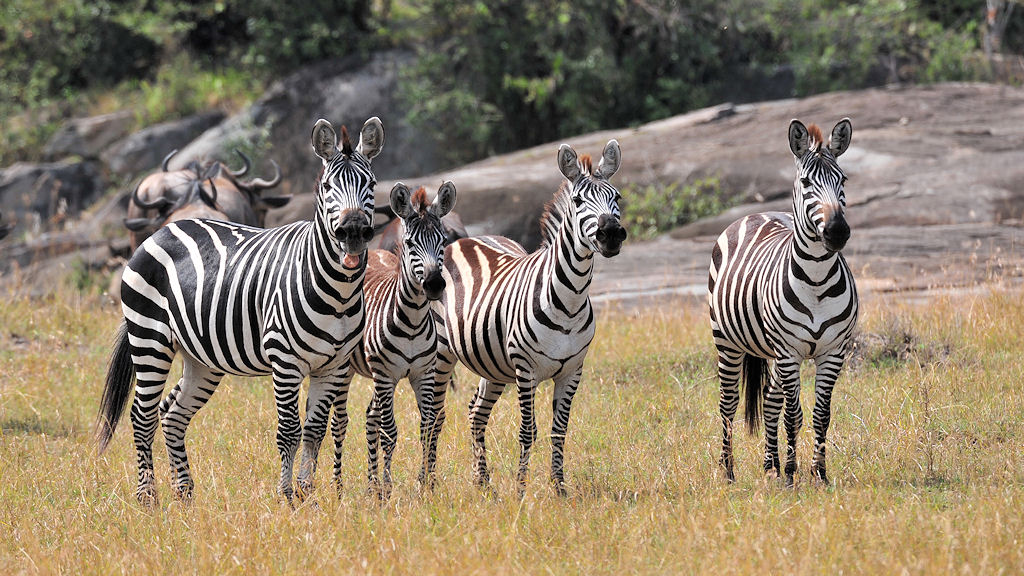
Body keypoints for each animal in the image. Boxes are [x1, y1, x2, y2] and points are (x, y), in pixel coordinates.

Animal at [95, 117, 385, 505]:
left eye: (371, 184)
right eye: (326, 187)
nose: (353, 232)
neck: (337, 291)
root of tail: (165, 229)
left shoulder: (333, 366)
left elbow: (315, 430)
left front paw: (309, 495)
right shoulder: (285, 362)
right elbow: (289, 431)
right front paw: (287, 496)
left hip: (201, 359)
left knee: (172, 414)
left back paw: (184, 494)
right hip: (149, 338)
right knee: (142, 415)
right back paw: (148, 497)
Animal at [329, 181, 456, 497]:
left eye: (443, 241)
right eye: (410, 244)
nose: (434, 284)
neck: (412, 321)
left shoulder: (423, 374)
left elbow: (427, 427)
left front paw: (427, 484)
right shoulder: (386, 375)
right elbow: (390, 433)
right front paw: (387, 490)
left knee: (370, 416)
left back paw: (371, 483)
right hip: (347, 369)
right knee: (340, 422)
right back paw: (338, 486)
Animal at [432, 140, 626, 495]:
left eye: (616, 198)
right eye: (578, 202)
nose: (611, 234)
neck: (569, 301)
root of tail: (465, 239)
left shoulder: (572, 371)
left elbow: (559, 430)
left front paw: (559, 487)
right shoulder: (526, 369)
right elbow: (528, 431)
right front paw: (521, 490)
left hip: (492, 364)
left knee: (476, 412)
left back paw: (482, 480)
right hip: (441, 352)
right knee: (434, 416)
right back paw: (430, 480)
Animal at [708, 118, 858, 486]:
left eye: (844, 180)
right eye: (806, 182)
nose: (837, 232)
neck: (817, 278)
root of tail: (756, 213)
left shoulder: (833, 353)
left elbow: (820, 415)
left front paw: (818, 474)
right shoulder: (789, 353)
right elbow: (794, 414)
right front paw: (792, 474)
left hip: (773, 354)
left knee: (769, 400)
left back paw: (770, 466)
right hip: (727, 342)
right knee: (728, 404)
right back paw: (729, 471)